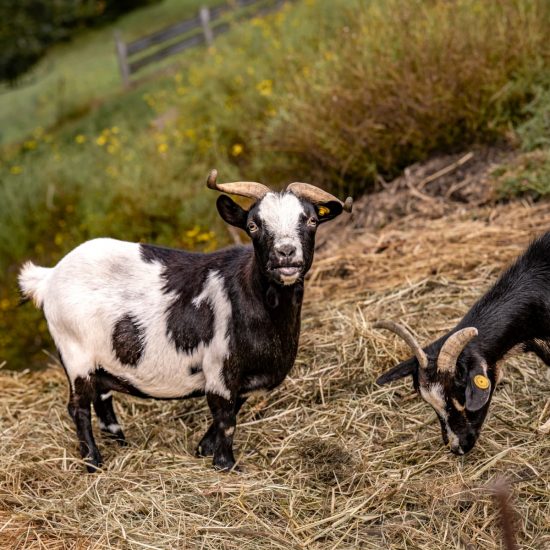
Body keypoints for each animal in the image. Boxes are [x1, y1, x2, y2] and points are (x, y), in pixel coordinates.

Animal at [19, 170, 354, 472]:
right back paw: (93, 463)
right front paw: (226, 465)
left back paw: (120, 443)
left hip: (101, 359)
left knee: (102, 397)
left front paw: (203, 449)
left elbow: (231, 413)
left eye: (311, 220)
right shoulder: (219, 370)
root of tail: (48, 277)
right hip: (75, 353)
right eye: (253, 225)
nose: (286, 253)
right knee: (78, 407)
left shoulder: (243, 381)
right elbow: (226, 420)